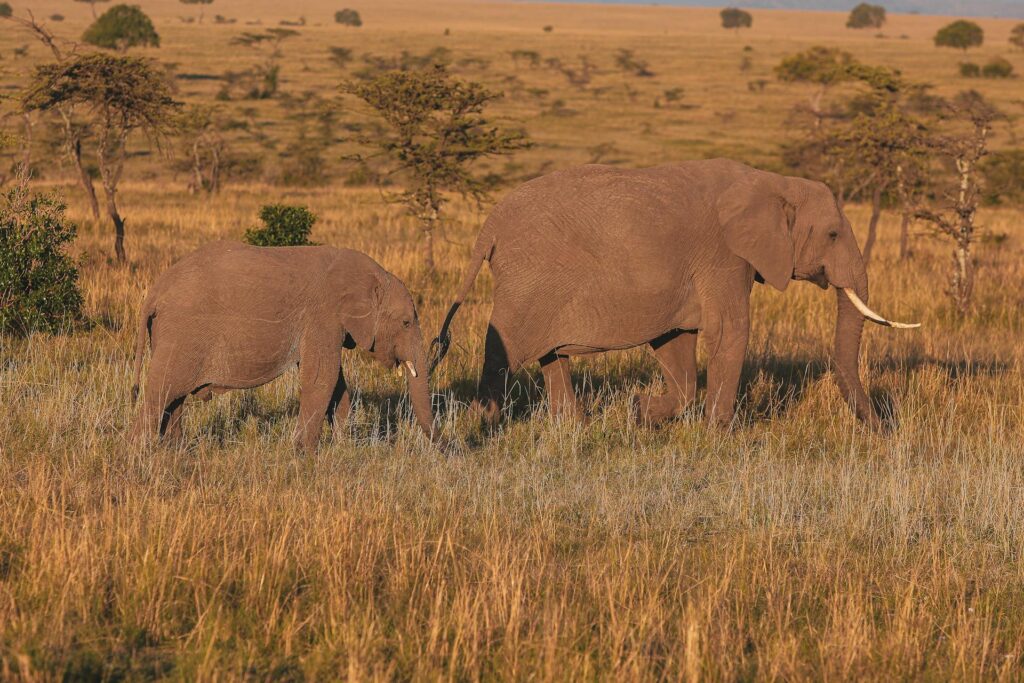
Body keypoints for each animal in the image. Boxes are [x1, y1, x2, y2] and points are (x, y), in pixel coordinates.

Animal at [130, 241, 437, 451]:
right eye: (406, 323)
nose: (445, 448)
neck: (371, 275)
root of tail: (155, 291)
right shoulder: (322, 317)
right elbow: (322, 379)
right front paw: (304, 453)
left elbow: (337, 385)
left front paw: (344, 446)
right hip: (181, 333)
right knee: (161, 392)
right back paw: (143, 452)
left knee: (175, 398)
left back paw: (176, 450)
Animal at [431, 159, 918, 428]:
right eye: (833, 234)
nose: (883, 429)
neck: (773, 182)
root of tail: (489, 226)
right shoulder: (724, 256)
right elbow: (730, 331)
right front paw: (719, 435)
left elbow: (677, 343)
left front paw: (638, 413)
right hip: (527, 280)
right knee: (505, 352)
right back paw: (483, 426)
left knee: (553, 356)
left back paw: (574, 427)